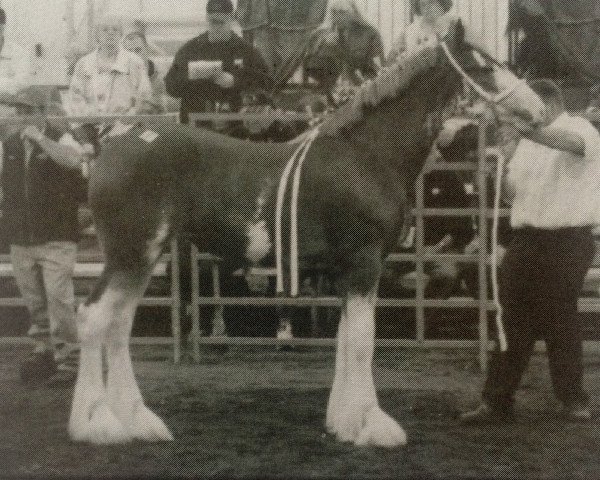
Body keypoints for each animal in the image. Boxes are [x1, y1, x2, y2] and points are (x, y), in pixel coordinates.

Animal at [68, 20, 548, 448]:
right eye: (482, 67)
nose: (540, 110)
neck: (365, 155)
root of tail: (112, 144)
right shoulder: (362, 264)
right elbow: (362, 342)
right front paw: (373, 425)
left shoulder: (342, 272)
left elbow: (344, 340)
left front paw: (343, 422)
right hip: (131, 253)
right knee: (93, 318)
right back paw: (98, 425)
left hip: (143, 257)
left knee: (118, 324)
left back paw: (138, 422)